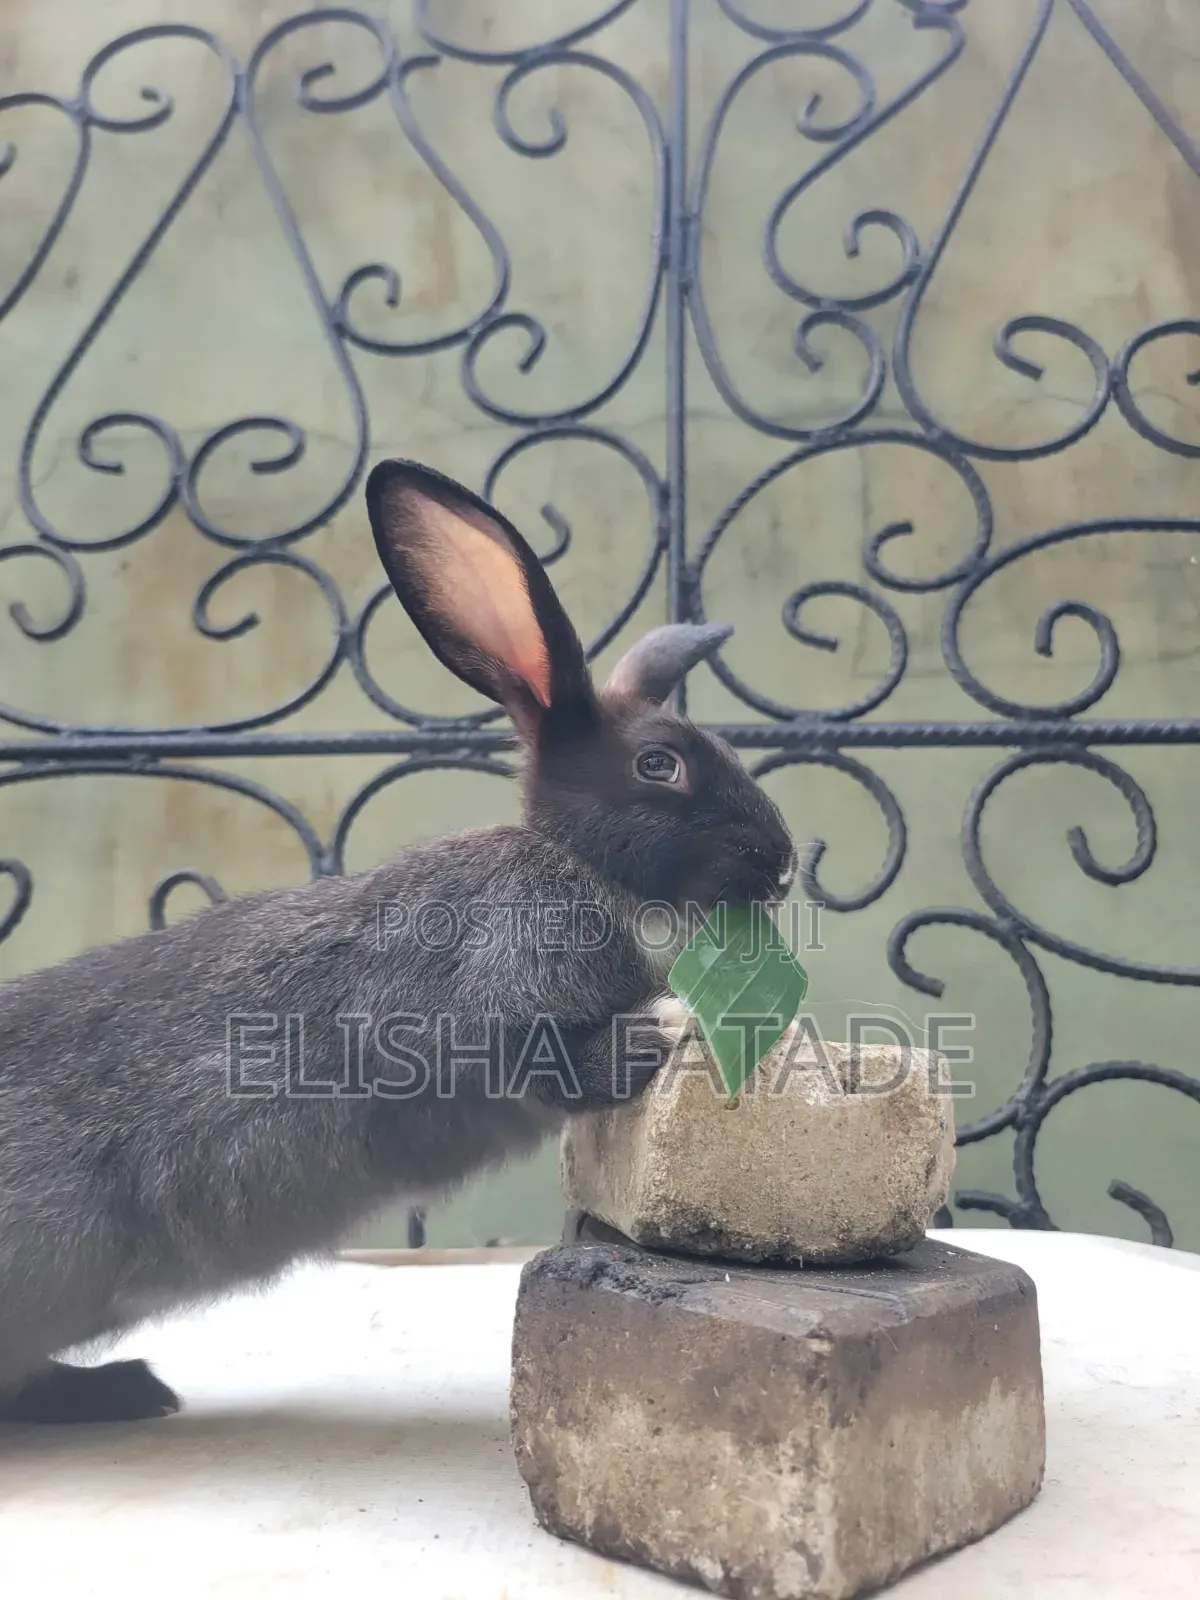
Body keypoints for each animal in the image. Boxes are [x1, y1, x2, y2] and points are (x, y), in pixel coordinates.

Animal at [0, 459, 797, 1426]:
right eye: (659, 765)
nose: (785, 863)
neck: (573, 860)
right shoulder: (479, 1010)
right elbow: (548, 1062)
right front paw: (661, 1025)